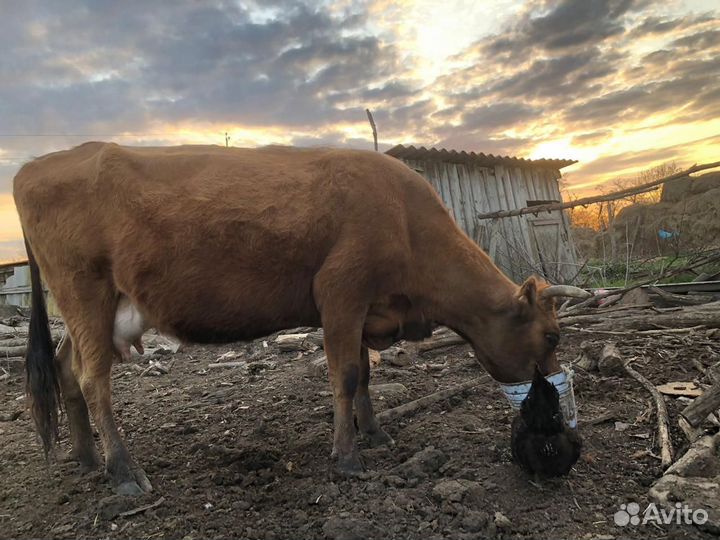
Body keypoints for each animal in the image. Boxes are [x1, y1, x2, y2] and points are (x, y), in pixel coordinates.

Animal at [14, 142, 589, 495]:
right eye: (553, 334)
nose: (562, 440)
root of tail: (35, 165)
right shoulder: (341, 292)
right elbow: (346, 376)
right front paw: (348, 456)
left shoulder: (364, 310)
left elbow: (365, 374)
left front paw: (375, 433)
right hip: (84, 291)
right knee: (93, 380)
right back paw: (122, 472)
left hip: (95, 310)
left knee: (66, 370)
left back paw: (87, 459)